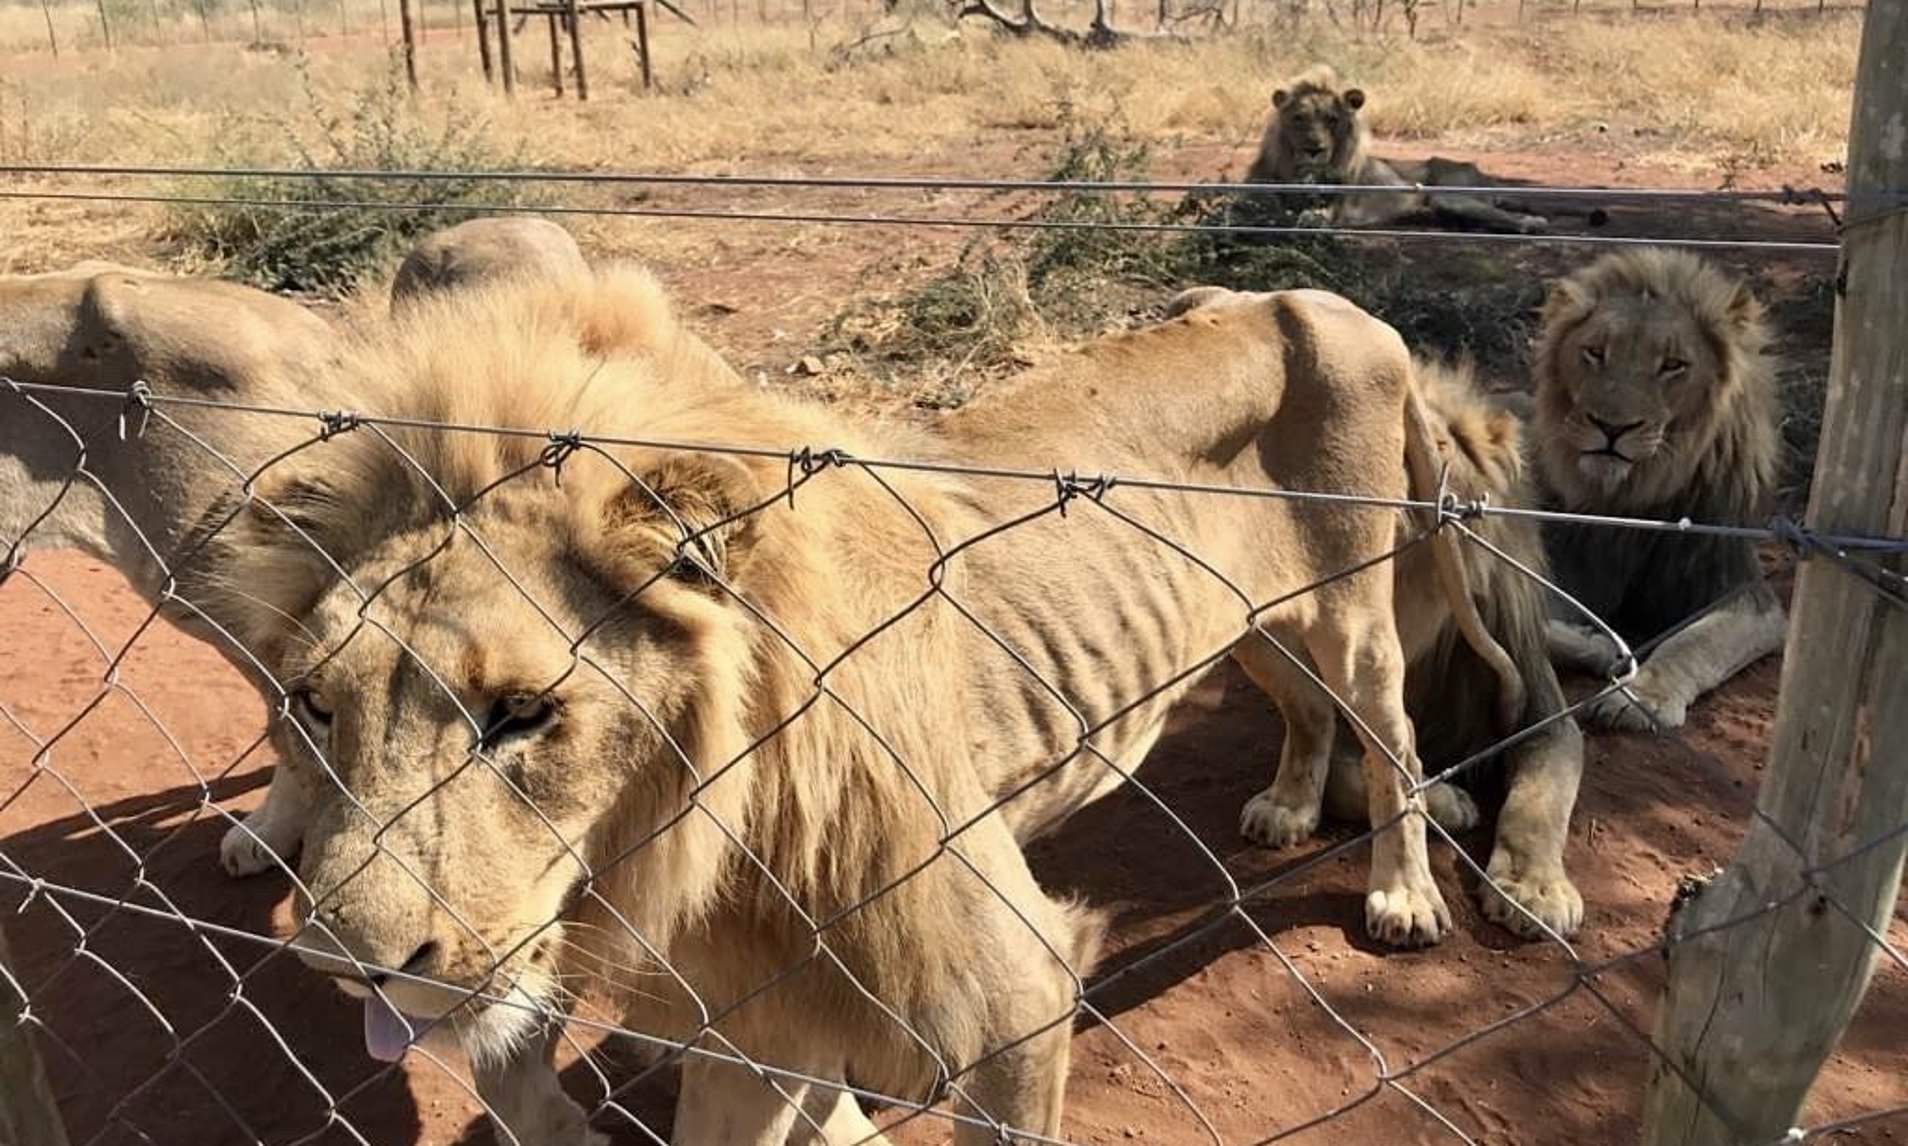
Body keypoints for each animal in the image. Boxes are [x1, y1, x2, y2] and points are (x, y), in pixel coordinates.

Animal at [1167, 286, 1587, 938]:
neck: (1418, 618)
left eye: (1438, 461)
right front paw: (1445, 802)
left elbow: (1540, 796)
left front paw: (1535, 891)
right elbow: (1356, 762)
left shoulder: (1539, 710)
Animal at [1251, 65, 1549, 235]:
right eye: (1299, 118)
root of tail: (1482, 174)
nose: (1314, 148)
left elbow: (1311, 216)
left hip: (1450, 196)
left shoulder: (1334, 207)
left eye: (1332, 120)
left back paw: (1533, 222)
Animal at [1518, 247, 1785, 732]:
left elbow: (1695, 640)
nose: (1611, 427)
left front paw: (1640, 697)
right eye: (1595, 352)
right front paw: (1600, 644)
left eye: (1673, 365)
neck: (1633, 495)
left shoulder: (1743, 592)